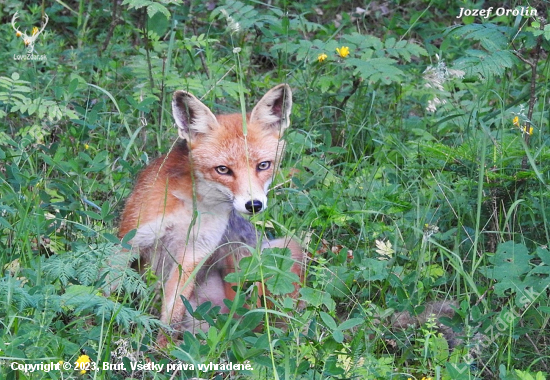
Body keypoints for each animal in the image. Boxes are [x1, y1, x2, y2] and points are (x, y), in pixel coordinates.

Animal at [117, 84, 306, 346]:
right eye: (223, 170)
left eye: (263, 165)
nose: (254, 205)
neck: (192, 208)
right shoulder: (131, 240)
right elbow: (105, 291)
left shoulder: (193, 254)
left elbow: (172, 313)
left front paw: (164, 350)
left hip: (286, 247)